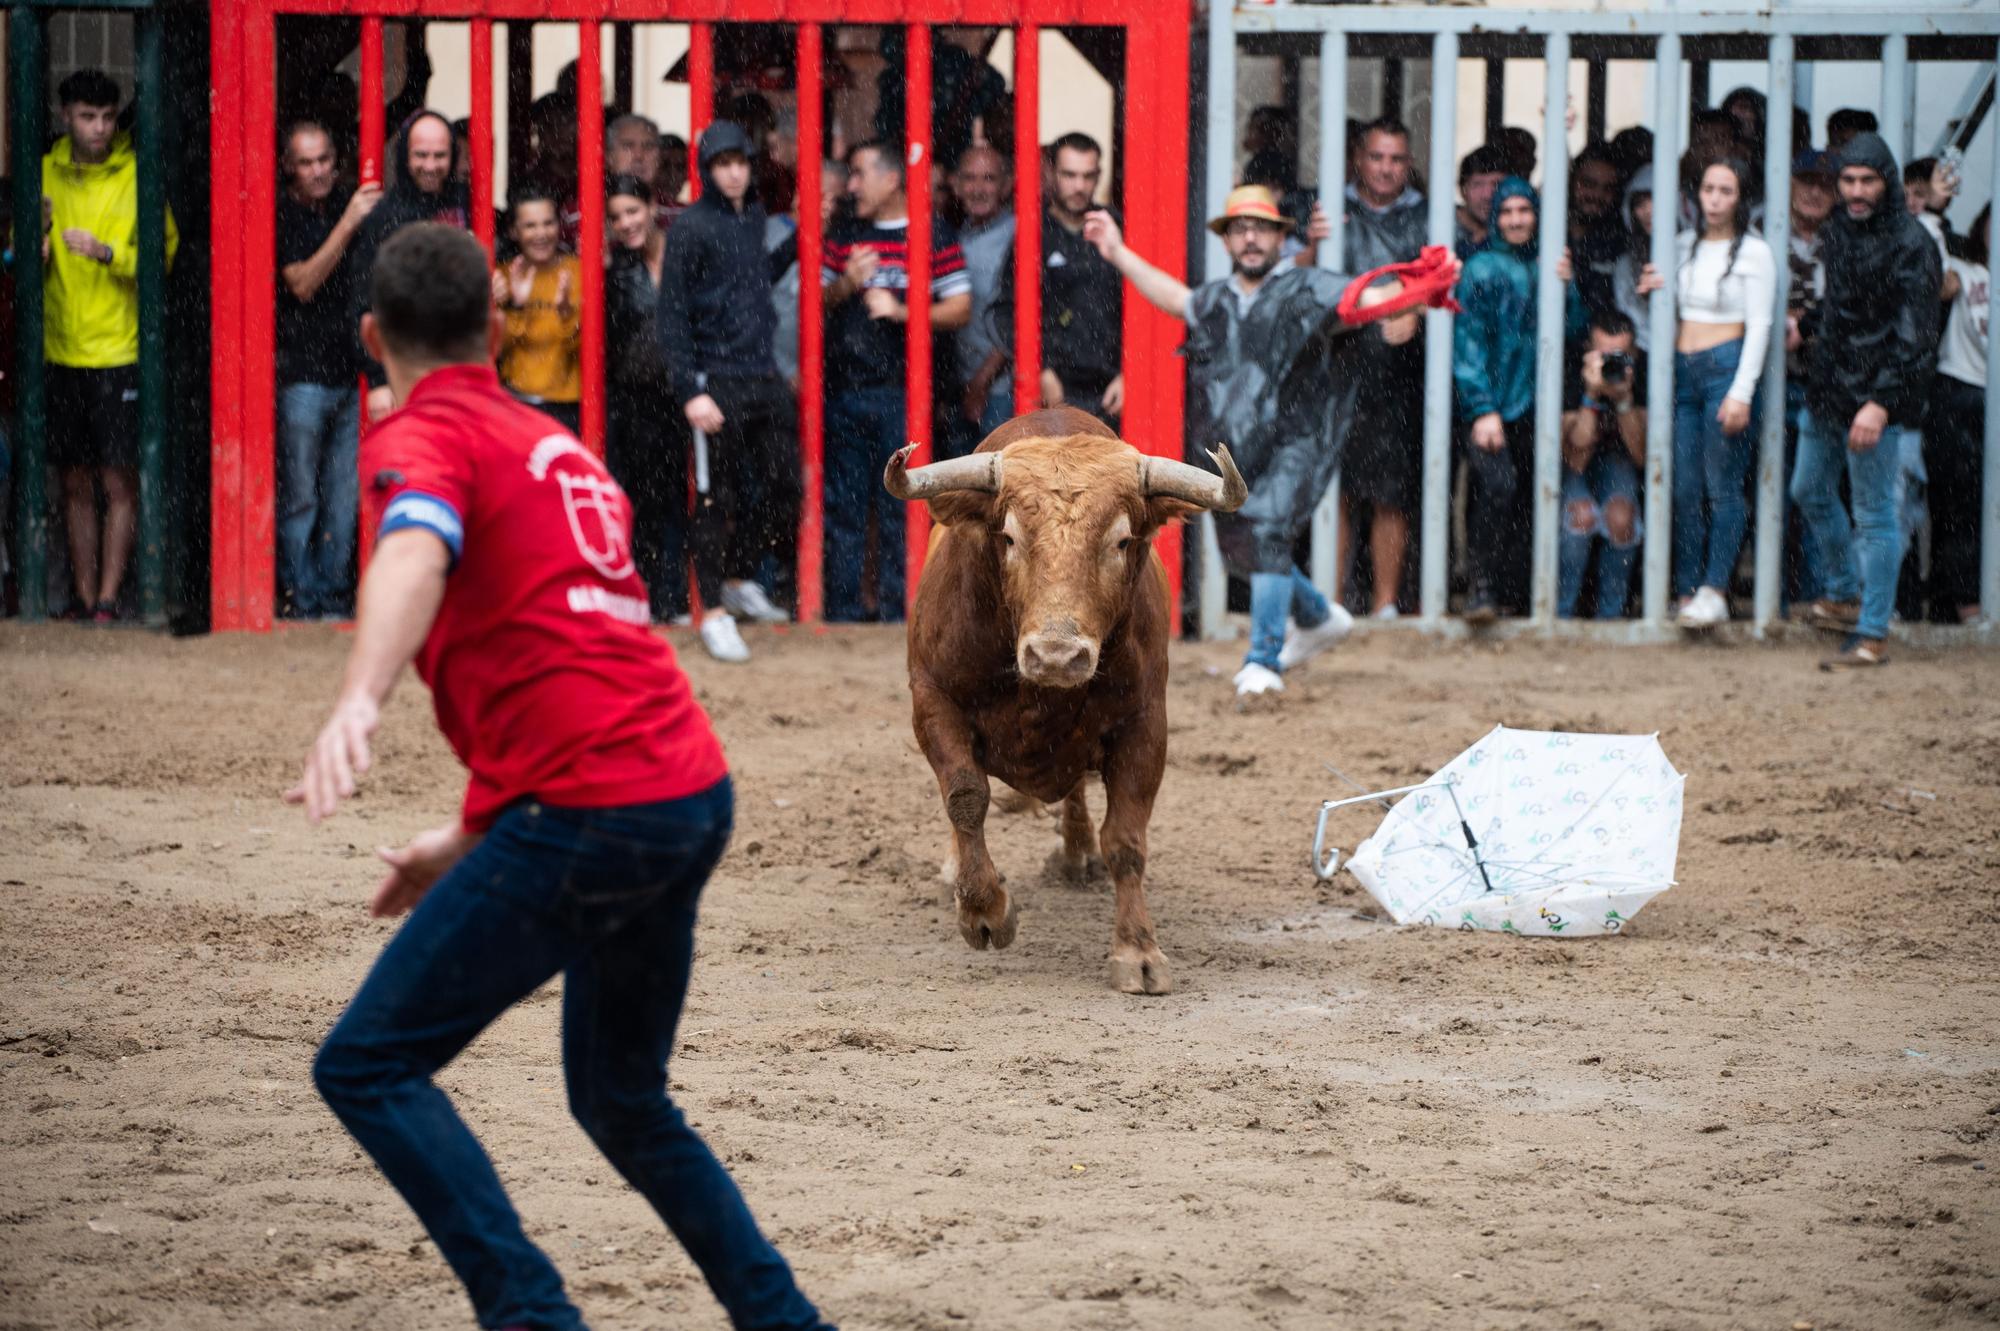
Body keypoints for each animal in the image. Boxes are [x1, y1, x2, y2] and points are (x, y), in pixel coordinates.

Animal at [888, 409, 1240, 991]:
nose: (1056, 655)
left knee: (1076, 791)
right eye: (1009, 536)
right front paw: (984, 911)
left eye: (1121, 541)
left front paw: (1137, 950)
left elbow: (1126, 840)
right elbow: (965, 796)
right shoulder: (933, 701)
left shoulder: (1145, 725)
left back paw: (1077, 855)